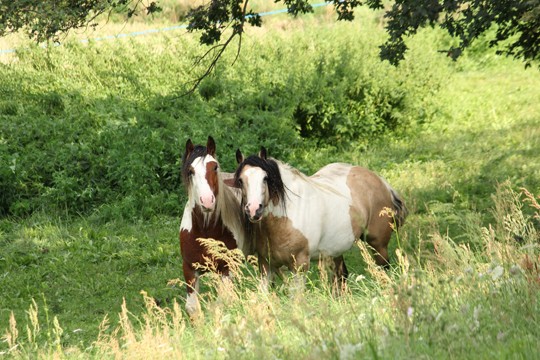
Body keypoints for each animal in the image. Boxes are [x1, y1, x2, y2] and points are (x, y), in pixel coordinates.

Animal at [180, 136, 248, 316]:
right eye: (190, 171)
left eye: (215, 167)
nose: (207, 201)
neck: (205, 230)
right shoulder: (189, 268)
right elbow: (193, 308)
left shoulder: (227, 267)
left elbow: (223, 303)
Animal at [234, 146, 408, 290]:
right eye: (241, 180)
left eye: (265, 178)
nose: (254, 210)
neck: (286, 219)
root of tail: (382, 182)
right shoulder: (265, 266)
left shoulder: (300, 266)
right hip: (336, 251)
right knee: (341, 277)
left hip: (378, 245)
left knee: (384, 271)